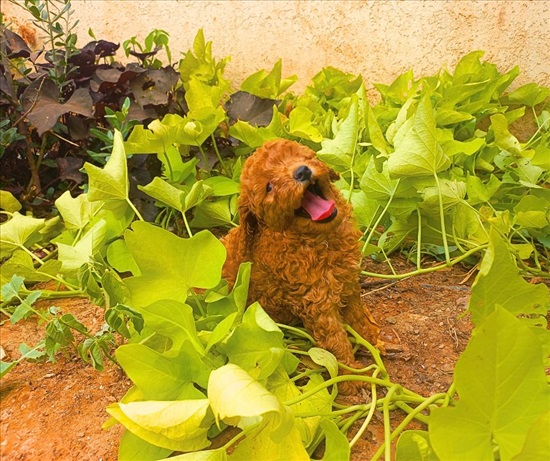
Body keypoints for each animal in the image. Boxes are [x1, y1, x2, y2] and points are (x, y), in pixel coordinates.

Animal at [222, 138, 382, 390]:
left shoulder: (349, 283)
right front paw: (352, 378)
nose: (302, 171)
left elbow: (358, 317)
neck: (320, 240)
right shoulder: (317, 304)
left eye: (300, 156)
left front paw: (374, 340)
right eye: (269, 187)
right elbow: (336, 343)